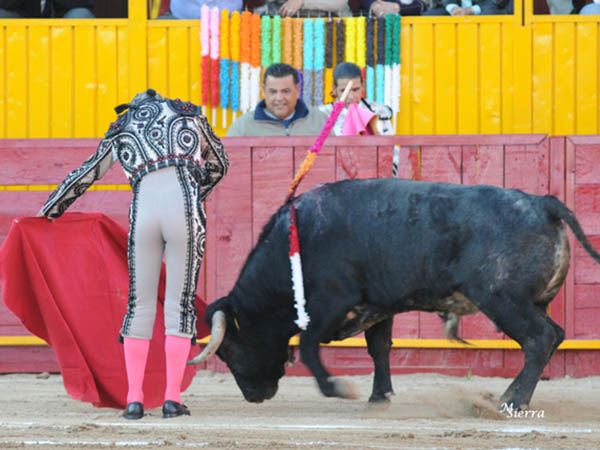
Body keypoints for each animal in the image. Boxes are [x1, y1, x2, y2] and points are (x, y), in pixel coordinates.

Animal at [189, 178, 600, 410]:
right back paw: (508, 396)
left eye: (229, 350)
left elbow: (307, 347)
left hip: (503, 300)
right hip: (532, 302)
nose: (253, 395)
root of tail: (542, 202)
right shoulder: (378, 307)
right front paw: (379, 396)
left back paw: (512, 401)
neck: (295, 244)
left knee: (538, 339)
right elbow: (379, 348)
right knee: (553, 336)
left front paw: (337, 388)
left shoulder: (332, 302)